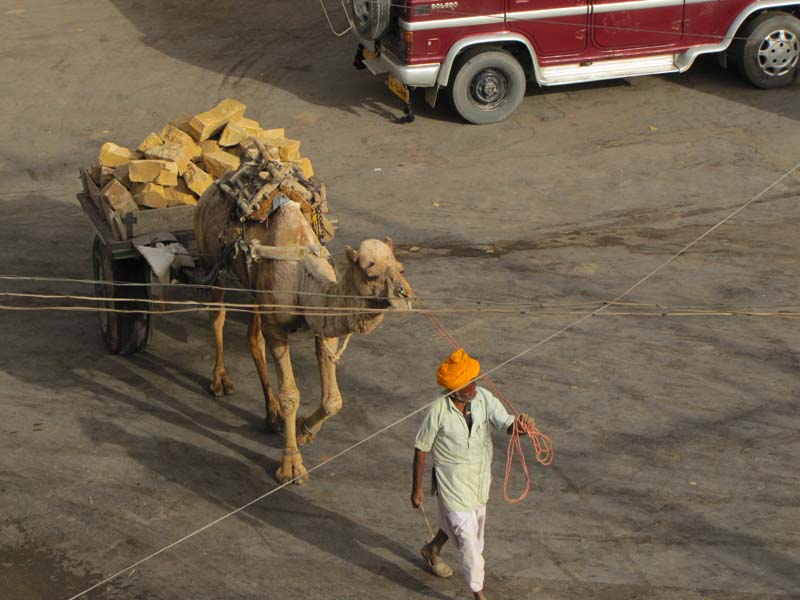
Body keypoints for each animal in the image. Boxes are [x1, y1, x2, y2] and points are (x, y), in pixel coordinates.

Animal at [194, 185, 412, 486]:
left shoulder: (323, 327)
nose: (405, 295)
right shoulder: (277, 327)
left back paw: (271, 415)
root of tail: (208, 193)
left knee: (253, 339)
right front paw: (291, 466)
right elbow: (290, 395)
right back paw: (221, 381)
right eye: (371, 273)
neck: (302, 274)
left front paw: (303, 430)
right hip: (210, 263)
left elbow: (333, 400)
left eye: (400, 269)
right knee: (218, 317)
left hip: (256, 293)